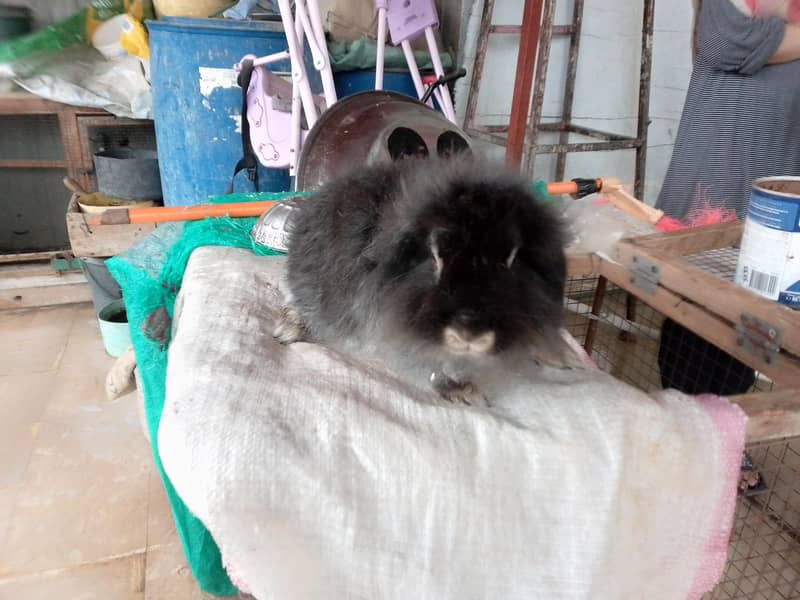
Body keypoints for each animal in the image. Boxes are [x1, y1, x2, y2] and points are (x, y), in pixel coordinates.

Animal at [273, 155, 574, 405]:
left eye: (512, 259)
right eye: (434, 257)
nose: (470, 333)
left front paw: (557, 358)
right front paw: (466, 394)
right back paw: (288, 330)